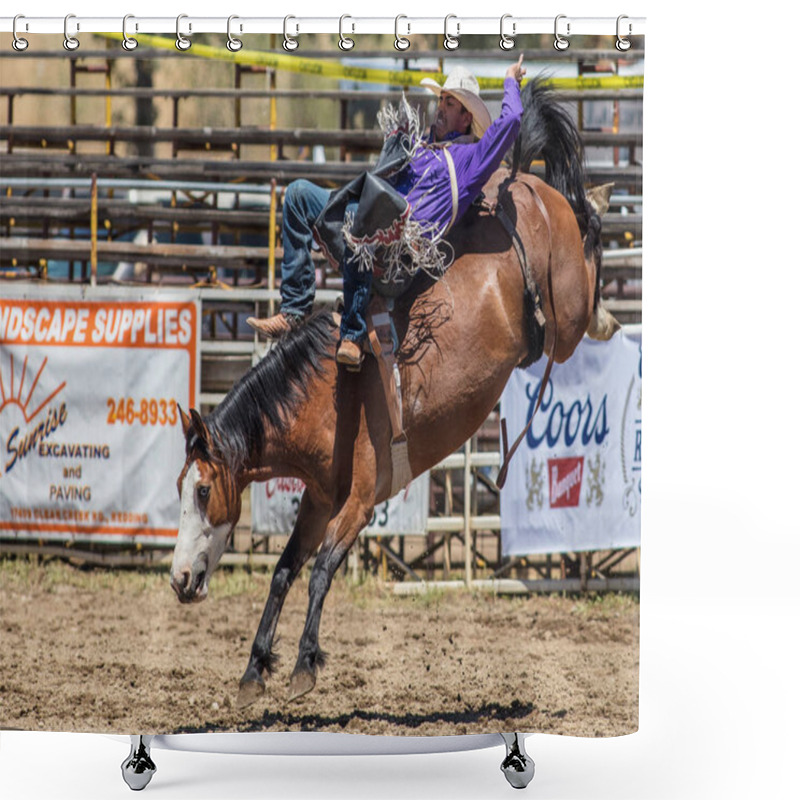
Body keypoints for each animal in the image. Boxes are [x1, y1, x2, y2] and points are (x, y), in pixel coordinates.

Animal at [167, 79, 620, 708]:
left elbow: (322, 568)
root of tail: (521, 186)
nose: (180, 579)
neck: (328, 394)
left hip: (567, 312)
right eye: (179, 487)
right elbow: (284, 569)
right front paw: (254, 670)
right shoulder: (319, 498)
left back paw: (602, 255)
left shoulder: (361, 497)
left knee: (585, 261)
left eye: (204, 490)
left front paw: (304, 666)